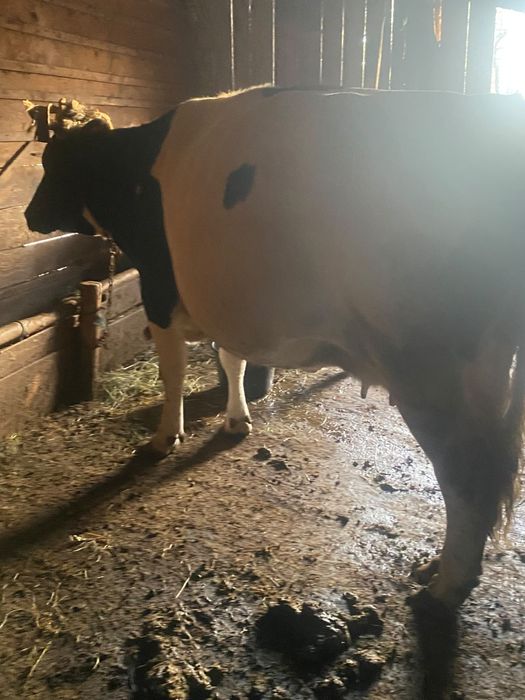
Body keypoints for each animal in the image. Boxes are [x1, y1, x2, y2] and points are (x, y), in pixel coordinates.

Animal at [25, 86, 525, 610]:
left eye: (52, 161)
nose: (28, 214)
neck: (133, 168)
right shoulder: (226, 303)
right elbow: (232, 358)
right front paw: (236, 419)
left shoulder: (158, 289)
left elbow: (174, 374)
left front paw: (165, 438)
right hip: (485, 367)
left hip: (428, 366)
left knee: (466, 473)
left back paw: (446, 586)